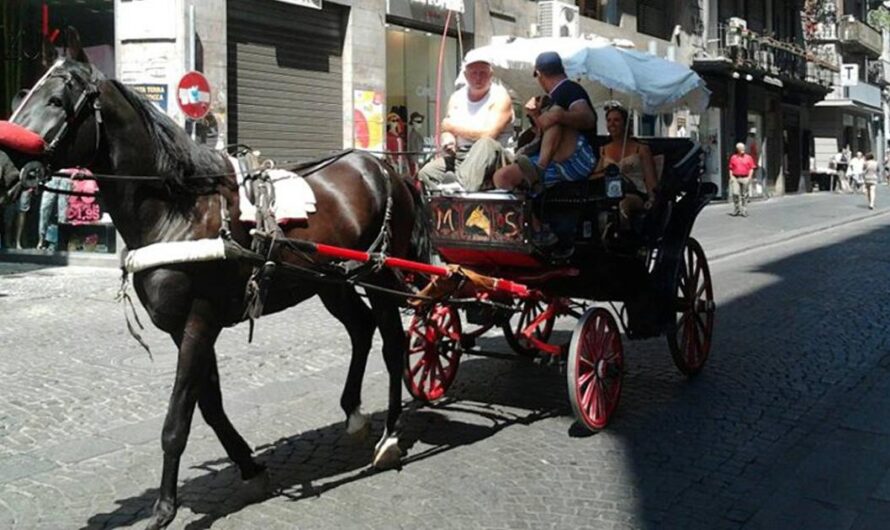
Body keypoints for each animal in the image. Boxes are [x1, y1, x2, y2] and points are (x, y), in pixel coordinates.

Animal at [0, 40, 430, 524]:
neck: (176, 208)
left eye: (57, 101)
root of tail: (382, 167)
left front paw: (164, 507)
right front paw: (250, 467)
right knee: (361, 329)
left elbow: (178, 419)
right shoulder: (181, 328)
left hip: (379, 273)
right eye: (24, 96)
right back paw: (354, 414)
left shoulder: (199, 321)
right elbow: (209, 405)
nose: (4, 169)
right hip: (330, 282)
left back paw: (390, 436)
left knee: (393, 343)